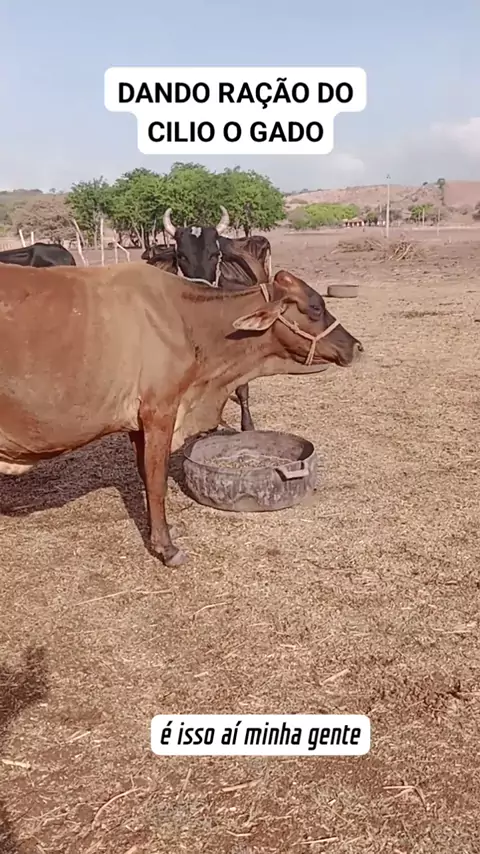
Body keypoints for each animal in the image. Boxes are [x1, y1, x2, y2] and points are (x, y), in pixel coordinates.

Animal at [0, 262, 363, 567]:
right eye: (315, 307)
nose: (357, 347)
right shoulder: (160, 410)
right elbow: (157, 480)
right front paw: (167, 548)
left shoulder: (139, 422)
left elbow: (145, 475)